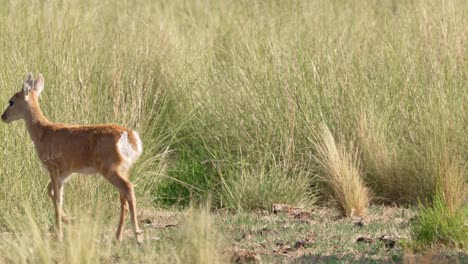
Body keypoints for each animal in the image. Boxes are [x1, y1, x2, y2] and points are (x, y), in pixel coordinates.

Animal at [1, 72, 143, 243]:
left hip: (110, 168)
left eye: (12, 101)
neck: (42, 132)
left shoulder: (54, 167)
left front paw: (59, 235)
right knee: (123, 198)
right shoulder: (65, 172)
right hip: (123, 168)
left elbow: (57, 199)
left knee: (128, 188)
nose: (3, 116)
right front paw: (69, 220)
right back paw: (118, 237)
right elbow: (52, 193)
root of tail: (130, 137)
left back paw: (138, 235)